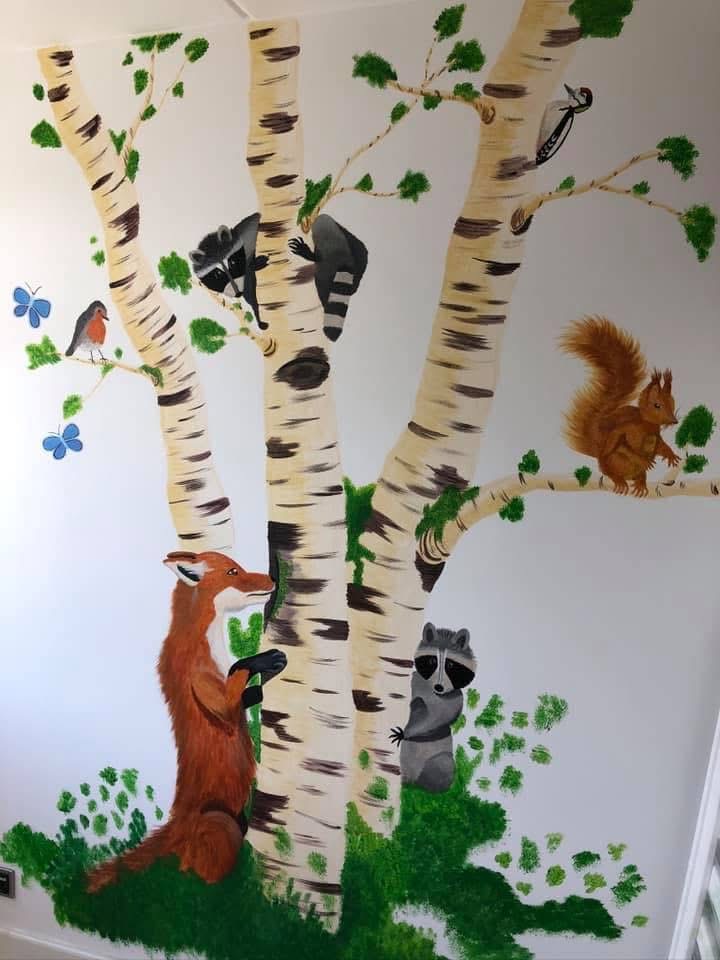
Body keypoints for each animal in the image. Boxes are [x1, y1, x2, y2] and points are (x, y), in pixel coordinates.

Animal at [86, 550, 286, 892]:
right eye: (233, 571)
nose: (273, 578)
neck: (208, 645)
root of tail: (177, 822)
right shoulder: (216, 699)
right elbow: (239, 670)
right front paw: (267, 660)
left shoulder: (236, 704)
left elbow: (250, 691)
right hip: (221, 825)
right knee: (196, 877)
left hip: (237, 819)